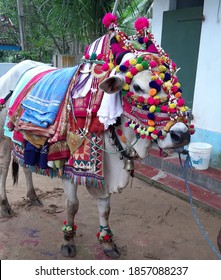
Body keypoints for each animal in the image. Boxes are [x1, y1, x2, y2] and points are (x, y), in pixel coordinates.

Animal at [0, 13, 193, 258]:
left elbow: (105, 208)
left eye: (175, 86)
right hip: (4, 139)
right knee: (5, 167)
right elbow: (72, 205)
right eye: (137, 87)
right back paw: (5, 205)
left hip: (24, 143)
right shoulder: (69, 166)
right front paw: (68, 240)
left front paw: (107, 242)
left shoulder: (106, 170)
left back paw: (33, 197)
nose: (181, 135)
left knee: (25, 165)